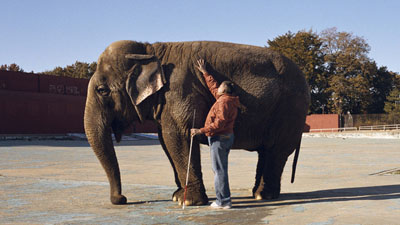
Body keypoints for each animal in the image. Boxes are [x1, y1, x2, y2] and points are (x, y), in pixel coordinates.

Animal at [83, 40, 310, 206]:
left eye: (102, 90)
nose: (121, 199)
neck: (151, 50)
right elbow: (165, 141)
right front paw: (177, 196)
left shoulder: (180, 92)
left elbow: (177, 137)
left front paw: (188, 202)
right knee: (267, 152)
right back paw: (256, 193)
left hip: (290, 111)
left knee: (276, 151)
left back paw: (263, 195)